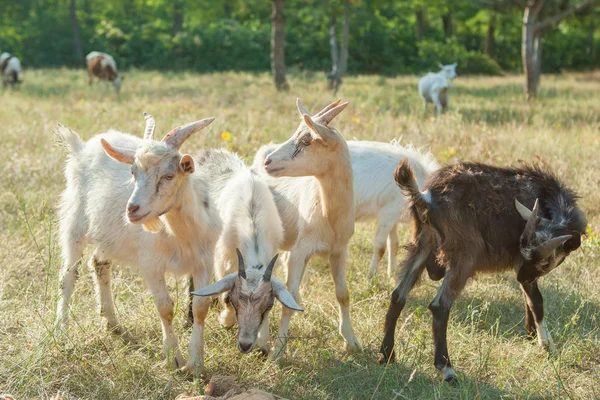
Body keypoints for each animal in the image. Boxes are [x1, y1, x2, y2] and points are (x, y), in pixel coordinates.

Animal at [54, 111, 220, 374]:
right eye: (132, 172)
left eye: (169, 175)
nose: (132, 209)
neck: (180, 235)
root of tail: (80, 148)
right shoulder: (151, 264)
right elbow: (165, 307)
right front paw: (174, 358)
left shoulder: (204, 260)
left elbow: (200, 306)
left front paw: (196, 364)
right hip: (74, 222)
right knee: (68, 275)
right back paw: (61, 331)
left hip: (107, 235)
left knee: (99, 263)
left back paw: (112, 323)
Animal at [188, 148, 300, 354]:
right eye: (234, 300)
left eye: (268, 305)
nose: (245, 345)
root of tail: (207, 151)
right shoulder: (223, 259)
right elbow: (223, 294)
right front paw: (226, 320)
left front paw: (263, 343)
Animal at [253, 99, 360, 356]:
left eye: (306, 141)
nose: (269, 162)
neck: (329, 215)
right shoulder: (301, 251)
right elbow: (287, 300)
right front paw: (278, 351)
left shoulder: (339, 250)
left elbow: (343, 294)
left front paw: (351, 341)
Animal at [380, 159, 584, 382]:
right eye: (545, 263)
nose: (521, 276)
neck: (548, 197)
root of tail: (427, 197)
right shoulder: (520, 262)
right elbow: (536, 300)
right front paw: (547, 346)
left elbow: (527, 297)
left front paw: (531, 334)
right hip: (464, 255)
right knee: (439, 306)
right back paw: (447, 369)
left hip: (422, 243)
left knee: (398, 295)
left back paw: (387, 355)